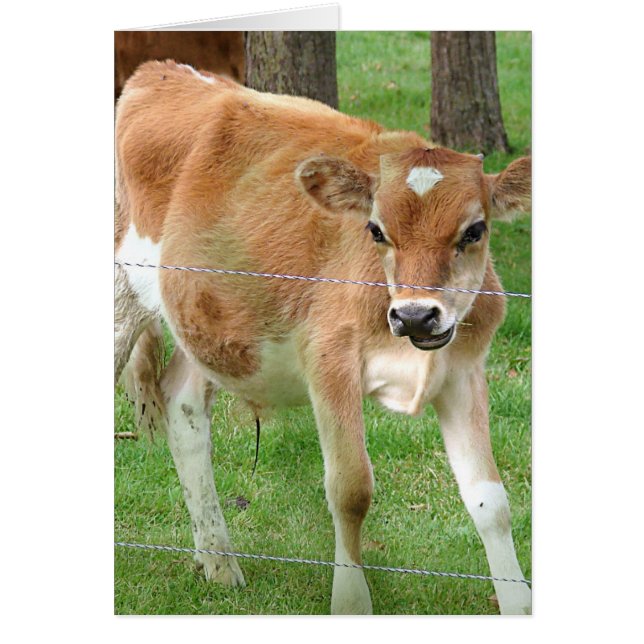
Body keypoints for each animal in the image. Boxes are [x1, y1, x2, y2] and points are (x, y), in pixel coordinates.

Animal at [114, 60, 532, 615]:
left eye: (475, 230)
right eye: (376, 230)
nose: (416, 316)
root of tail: (158, 71)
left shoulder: (463, 370)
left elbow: (491, 500)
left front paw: (518, 603)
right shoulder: (329, 361)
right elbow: (350, 489)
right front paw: (351, 602)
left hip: (206, 322)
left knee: (183, 408)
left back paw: (219, 563)